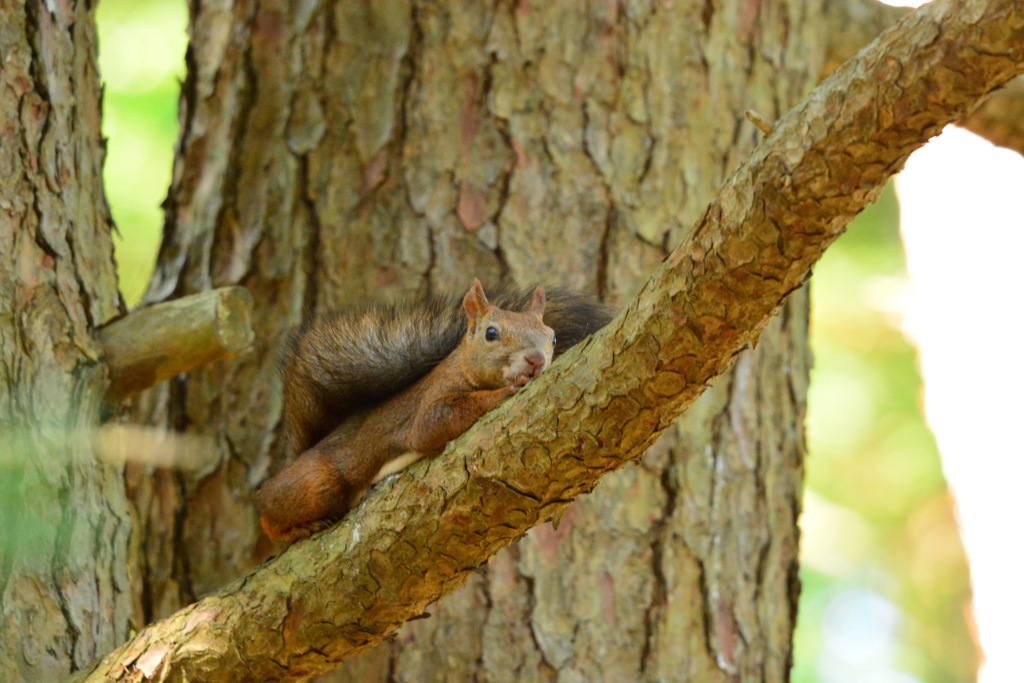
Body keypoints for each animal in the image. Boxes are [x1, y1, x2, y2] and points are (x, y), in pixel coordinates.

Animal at [254, 278, 610, 544]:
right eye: (491, 333)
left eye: (552, 338)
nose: (536, 360)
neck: (462, 365)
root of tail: (301, 455)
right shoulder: (431, 402)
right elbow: (430, 427)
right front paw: (501, 393)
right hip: (319, 481)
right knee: (267, 513)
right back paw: (295, 528)